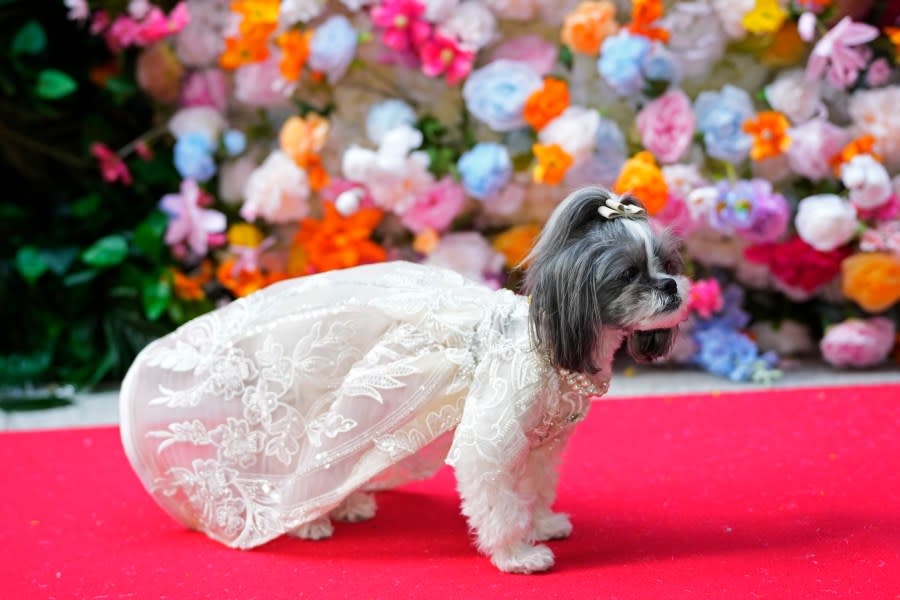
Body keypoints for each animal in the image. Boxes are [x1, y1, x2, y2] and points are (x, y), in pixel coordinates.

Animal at [119, 185, 688, 576]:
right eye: (628, 275)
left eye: (667, 262)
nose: (672, 286)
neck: (551, 347)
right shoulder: (492, 439)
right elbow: (499, 504)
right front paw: (517, 554)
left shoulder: (540, 442)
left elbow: (533, 486)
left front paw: (542, 523)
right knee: (292, 473)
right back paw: (307, 521)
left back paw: (347, 503)